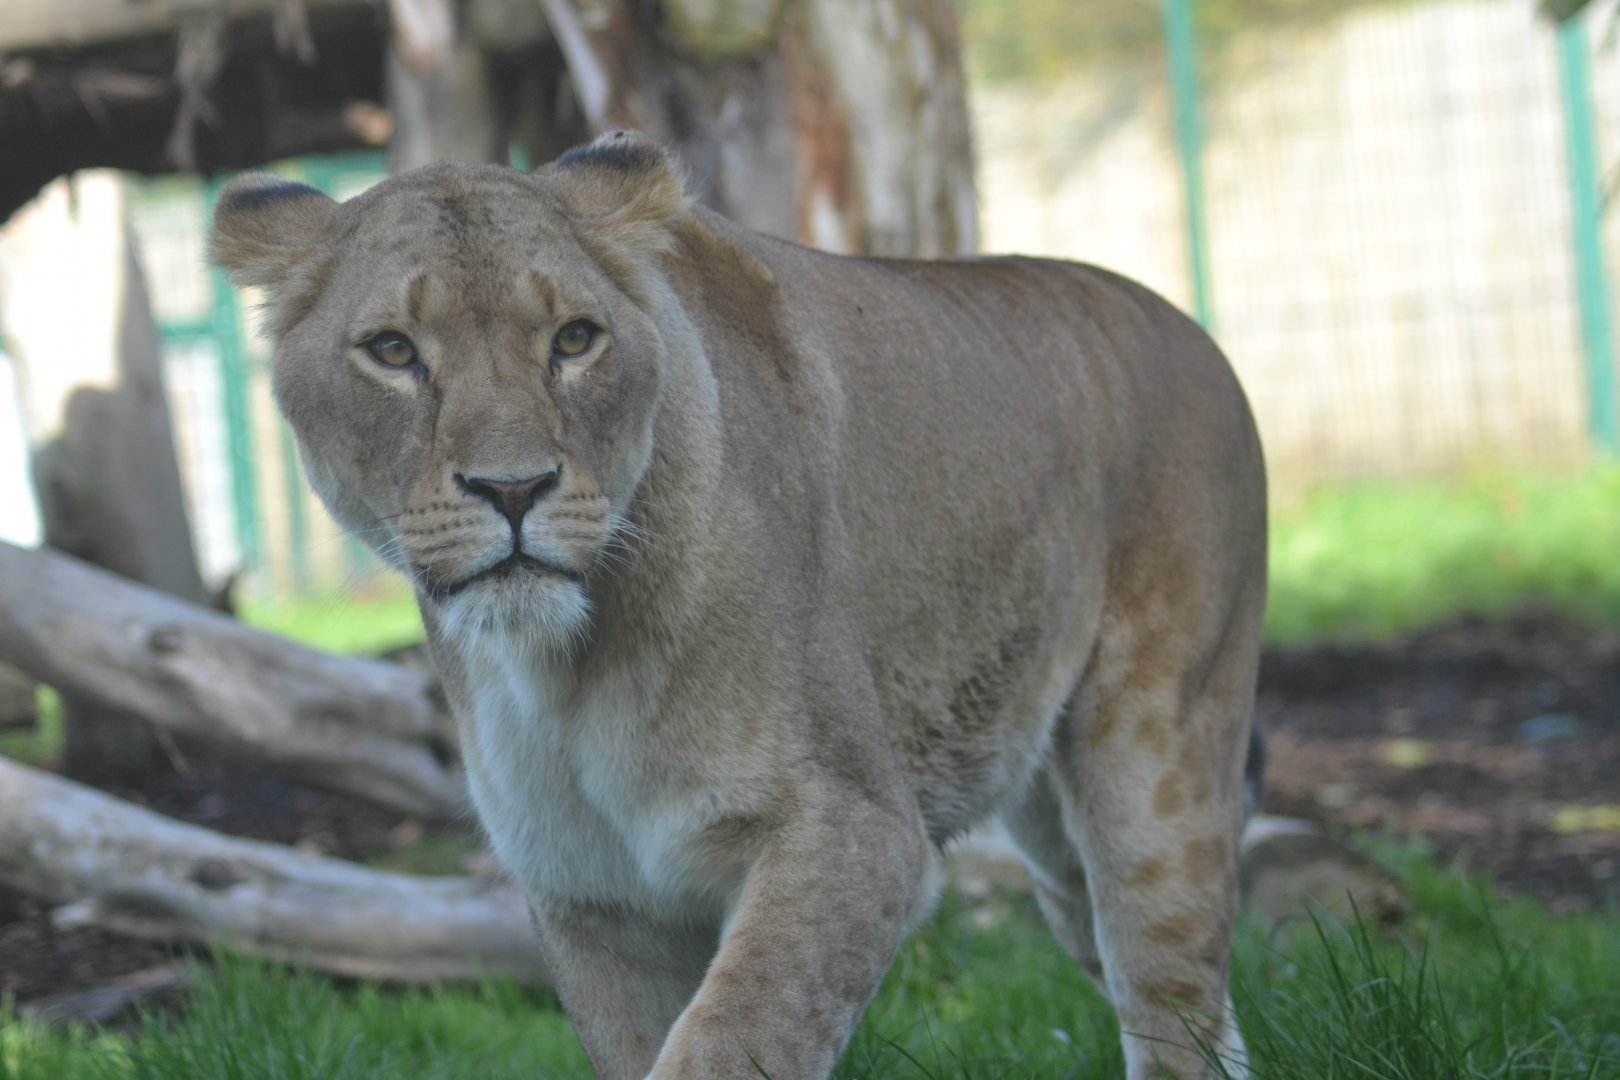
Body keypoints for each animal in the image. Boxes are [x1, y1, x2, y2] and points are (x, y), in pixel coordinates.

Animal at [211, 130, 1267, 1080]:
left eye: (574, 339)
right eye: (392, 351)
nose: (515, 490)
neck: (560, 670)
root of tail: (1192, 329)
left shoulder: (853, 831)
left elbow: (734, 1038)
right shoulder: (593, 895)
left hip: (1156, 772)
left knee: (1169, 1000)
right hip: (1051, 839)